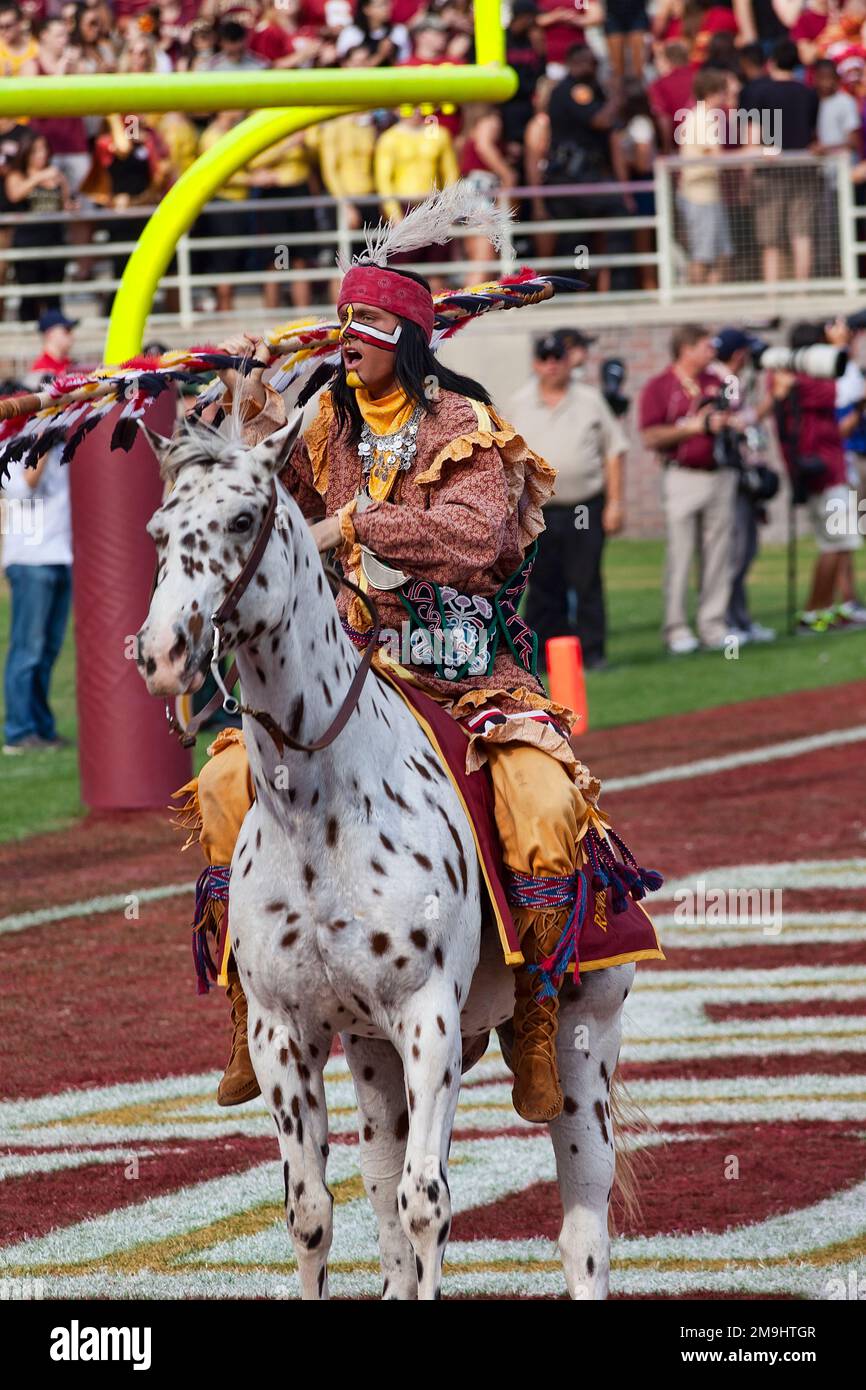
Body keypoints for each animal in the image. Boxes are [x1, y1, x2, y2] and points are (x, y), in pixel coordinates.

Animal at [136, 408, 636, 1301]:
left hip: (587, 1044)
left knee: (583, 1222)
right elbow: (312, 1211)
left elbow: (426, 1202)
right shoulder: (285, 1031)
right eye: (159, 531)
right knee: (378, 1181)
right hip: (369, 1056)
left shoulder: (427, 1019)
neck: (321, 811)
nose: (160, 652)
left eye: (242, 519)